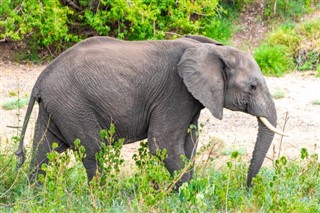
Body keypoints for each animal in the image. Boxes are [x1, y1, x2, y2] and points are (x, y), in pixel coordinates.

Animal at [15, 35, 284, 188]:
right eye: (252, 87)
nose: (248, 187)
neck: (212, 49)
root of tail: (41, 78)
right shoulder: (176, 92)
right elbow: (162, 144)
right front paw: (185, 195)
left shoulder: (189, 98)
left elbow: (190, 145)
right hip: (74, 105)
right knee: (93, 152)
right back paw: (100, 196)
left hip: (58, 107)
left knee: (44, 150)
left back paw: (35, 196)